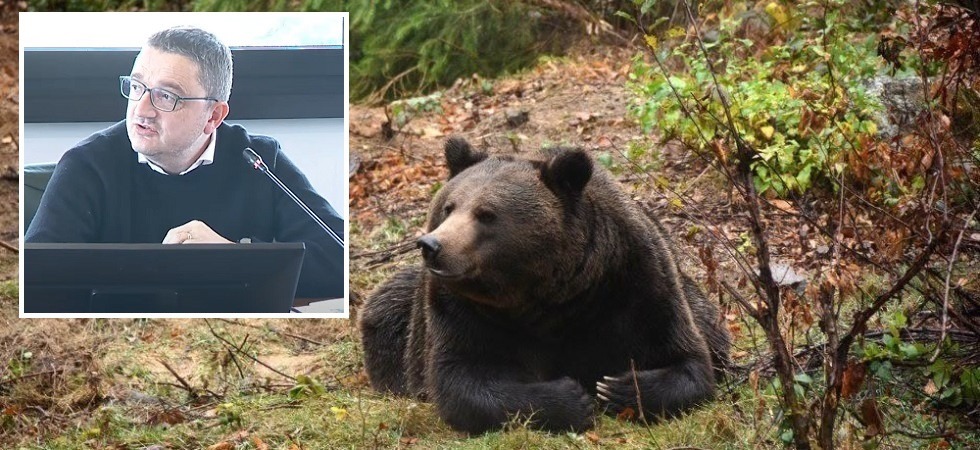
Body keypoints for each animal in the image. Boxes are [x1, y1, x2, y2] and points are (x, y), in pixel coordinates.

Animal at [359, 137, 730, 434]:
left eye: (486, 214)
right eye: (448, 207)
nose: (433, 245)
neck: (546, 294)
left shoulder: (633, 284)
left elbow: (688, 360)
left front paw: (618, 387)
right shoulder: (460, 310)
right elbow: (462, 381)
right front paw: (573, 397)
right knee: (385, 310)